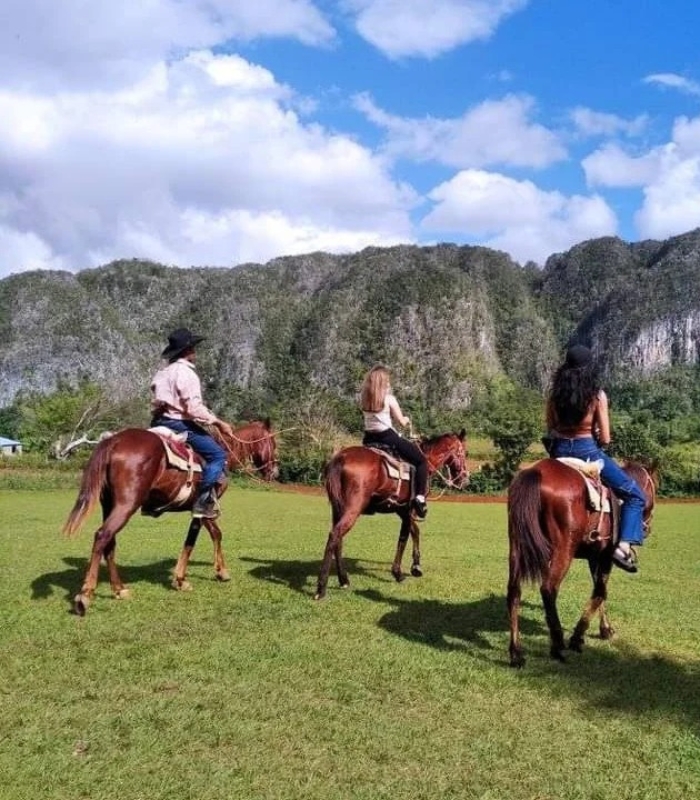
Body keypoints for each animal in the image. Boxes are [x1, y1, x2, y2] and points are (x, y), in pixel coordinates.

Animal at [61, 416, 278, 616]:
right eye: (274, 443)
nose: (275, 472)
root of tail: (114, 440)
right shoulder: (203, 507)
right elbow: (193, 540)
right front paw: (182, 579)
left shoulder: (203, 509)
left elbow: (215, 534)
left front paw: (220, 571)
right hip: (126, 504)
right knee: (102, 536)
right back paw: (85, 596)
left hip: (109, 505)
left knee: (110, 543)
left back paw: (119, 589)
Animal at [314, 432, 468, 600]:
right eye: (465, 453)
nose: (466, 479)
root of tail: (340, 457)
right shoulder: (408, 510)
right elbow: (403, 538)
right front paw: (398, 573)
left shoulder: (401, 510)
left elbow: (415, 532)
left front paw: (416, 567)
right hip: (353, 509)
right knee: (335, 535)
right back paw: (321, 589)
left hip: (337, 508)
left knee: (338, 539)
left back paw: (343, 580)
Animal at [506, 460, 660, 664]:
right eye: (654, 487)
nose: (647, 528)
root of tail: (536, 471)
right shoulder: (606, 557)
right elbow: (601, 591)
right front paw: (578, 636)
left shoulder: (595, 557)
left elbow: (598, 589)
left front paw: (605, 629)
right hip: (563, 548)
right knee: (548, 588)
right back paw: (557, 645)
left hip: (517, 545)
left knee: (514, 591)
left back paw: (516, 653)